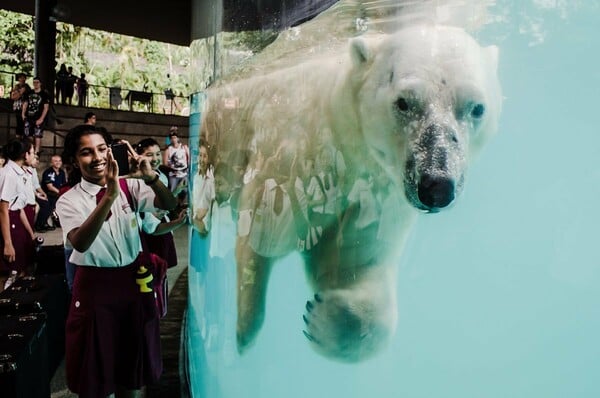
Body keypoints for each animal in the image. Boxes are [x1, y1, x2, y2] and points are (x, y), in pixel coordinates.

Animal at [202, 23, 502, 362]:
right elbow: (266, 238)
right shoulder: (297, 158)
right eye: (404, 102)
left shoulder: (378, 193)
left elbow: (355, 262)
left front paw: (327, 318)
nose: (436, 185)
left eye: (477, 108)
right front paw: (246, 331)